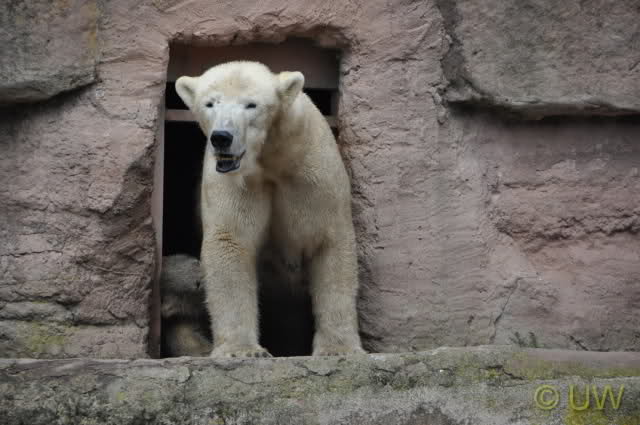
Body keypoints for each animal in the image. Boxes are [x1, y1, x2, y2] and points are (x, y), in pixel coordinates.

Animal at [175, 61, 364, 357]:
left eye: (251, 104)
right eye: (210, 103)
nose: (222, 137)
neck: (272, 158)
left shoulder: (313, 176)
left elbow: (328, 242)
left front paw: (339, 349)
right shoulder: (235, 182)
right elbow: (231, 240)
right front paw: (241, 349)